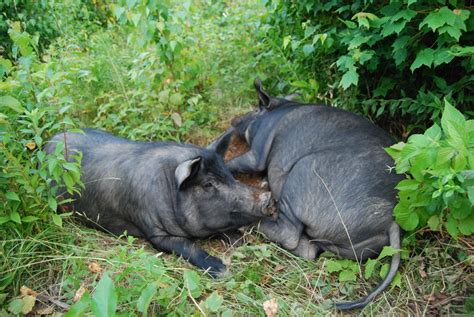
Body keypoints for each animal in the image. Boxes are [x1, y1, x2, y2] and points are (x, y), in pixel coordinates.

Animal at [45, 128, 274, 276]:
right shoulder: (154, 231)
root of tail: (50, 140)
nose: (268, 197)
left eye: (228, 174)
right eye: (208, 184)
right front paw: (222, 270)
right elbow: (186, 245)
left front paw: (242, 242)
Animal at [210, 79, 404, 308]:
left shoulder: (258, 148)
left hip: (303, 173)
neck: (280, 107)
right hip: (351, 246)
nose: (234, 119)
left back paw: (249, 224)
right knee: (310, 250)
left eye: (255, 109)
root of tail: (391, 221)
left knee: (289, 234)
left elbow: (241, 163)